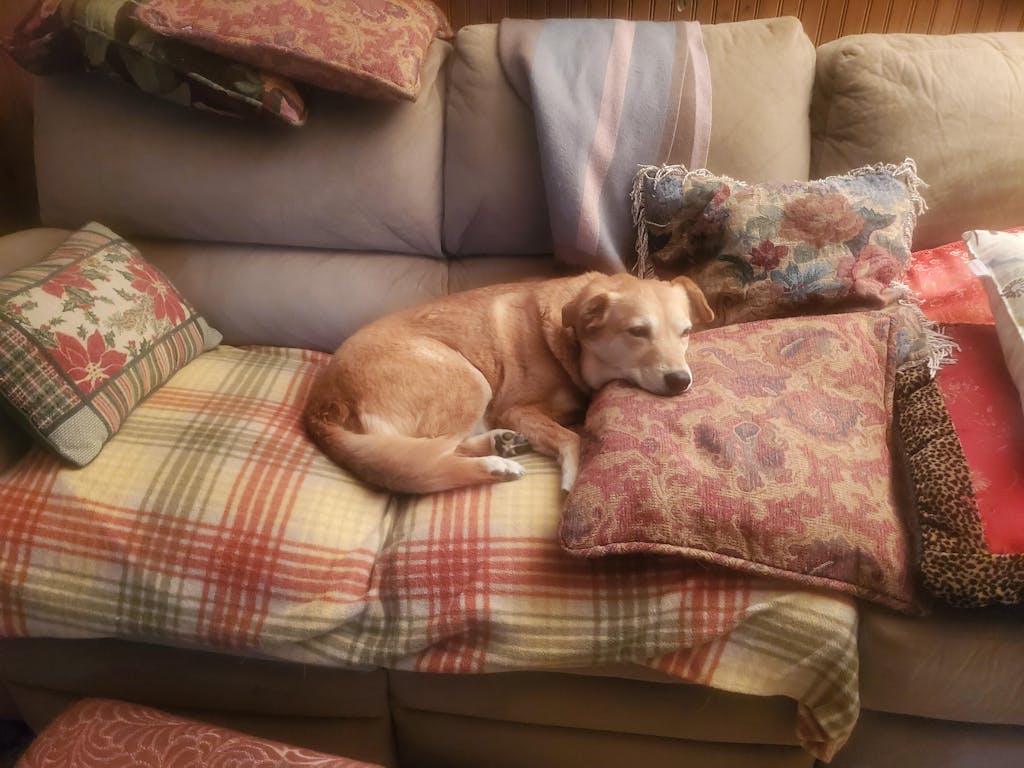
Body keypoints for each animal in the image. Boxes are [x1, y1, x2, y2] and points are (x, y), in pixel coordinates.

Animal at [304, 272, 713, 494]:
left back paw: (498, 444)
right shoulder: (514, 408)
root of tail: (320, 405)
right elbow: (571, 437)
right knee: (425, 458)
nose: (680, 381)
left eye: (686, 332)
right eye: (637, 332)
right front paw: (574, 477)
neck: (572, 343)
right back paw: (493, 464)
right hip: (469, 381)